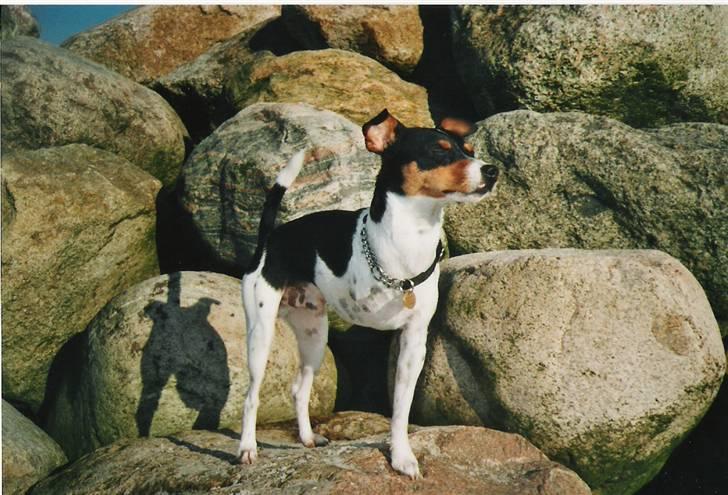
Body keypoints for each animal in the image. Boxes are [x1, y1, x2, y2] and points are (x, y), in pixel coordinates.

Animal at [236, 109, 498, 480]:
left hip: (314, 336)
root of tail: (269, 239)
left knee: (300, 389)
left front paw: (402, 457)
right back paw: (247, 448)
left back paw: (308, 438)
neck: (409, 240)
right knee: (251, 396)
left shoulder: (413, 342)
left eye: (470, 151)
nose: (492, 170)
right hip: (260, 333)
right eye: (439, 151)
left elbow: (401, 410)